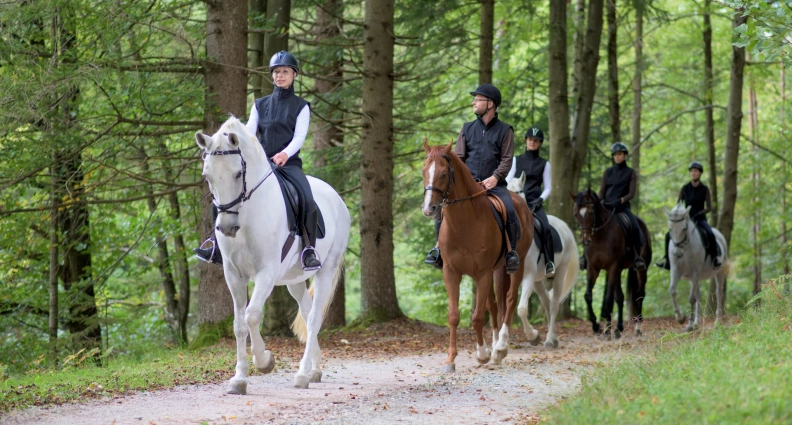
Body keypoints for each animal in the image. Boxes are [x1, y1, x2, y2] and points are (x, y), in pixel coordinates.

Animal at [195, 117, 350, 395]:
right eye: (207, 175)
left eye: (238, 173)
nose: (227, 228)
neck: (247, 214)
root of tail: (336, 197)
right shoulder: (233, 274)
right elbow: (238, 324)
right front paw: (239, 379)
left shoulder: (265, 273)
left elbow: (252, 315)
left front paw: (264, 360)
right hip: (294, 280)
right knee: (307, 311)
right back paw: (315, 370)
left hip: (326, 269)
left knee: (314, 318)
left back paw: (302, 375)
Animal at [421, 141, 533, 372]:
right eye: (423, 171)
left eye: (444, 174)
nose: (429, 209)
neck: (464, 223)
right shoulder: (452, 272)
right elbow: (454, 316)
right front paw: (451, 359)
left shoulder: (482, 274)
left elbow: (478, 317)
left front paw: (482, 354)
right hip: (495, 271)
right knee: (495, 304)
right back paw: (495, 347)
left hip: (516, 265)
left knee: (510, 300)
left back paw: (500, 348)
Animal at [507, 173, 580, 348]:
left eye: (518, 192)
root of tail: (564, 226)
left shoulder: (527, 276)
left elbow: (521, 309)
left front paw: (533, 336)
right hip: (537, 280)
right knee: (546, 301)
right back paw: (553, 337)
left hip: (559, 273)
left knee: (554, 304)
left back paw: (549, 340)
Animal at [570, 189, 651, 338]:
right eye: (576, 214)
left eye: (590, 212)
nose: (585, 241)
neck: (600, 235)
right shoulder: (593, 268)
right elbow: (588, 296)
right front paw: (597, 327)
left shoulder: (612, 266)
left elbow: (608, 298)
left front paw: (607, 331)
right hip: (618, 271)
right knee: (620, 297)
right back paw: (618, 329)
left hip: (641, 269)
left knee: (639, 294)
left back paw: (637, 328)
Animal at [664, 202, 729, 331]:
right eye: (670, 229)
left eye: (684, 228)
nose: (677, 253)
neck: (685, 247)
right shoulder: (676, 271)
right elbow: (672, 290)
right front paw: (680, 318)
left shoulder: (695, 272)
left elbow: (691, 298)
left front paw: (688, 325)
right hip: (695, 278)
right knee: (698, 294)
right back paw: (697, 323)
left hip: (718, 272)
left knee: (718, 293)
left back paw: (717, 321)